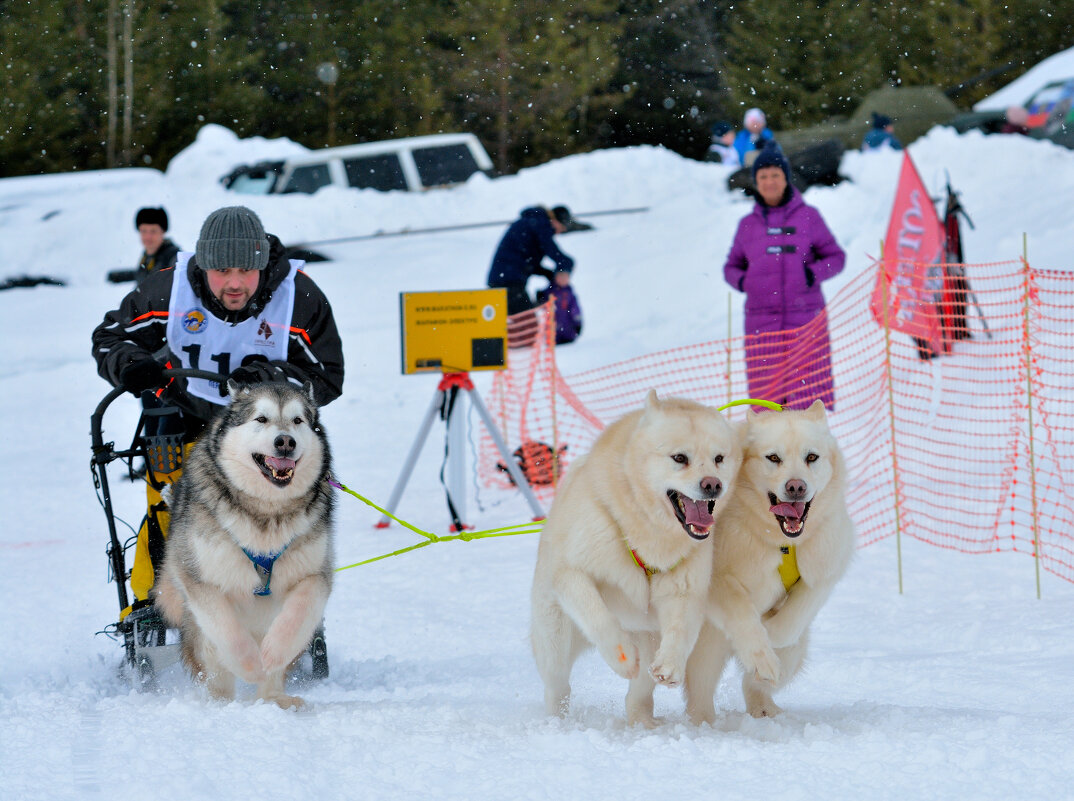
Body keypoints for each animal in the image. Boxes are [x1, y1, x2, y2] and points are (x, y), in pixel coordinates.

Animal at [528, 388, 738, 725]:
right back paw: (557, 720)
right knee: (557, 686)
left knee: (637, 696)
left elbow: (681, 629)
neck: (647, 534)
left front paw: (671, 666)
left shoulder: (685, 590)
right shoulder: (571, 573)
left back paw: (643, 722)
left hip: (648, 637)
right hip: (555, 641)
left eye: (719, 459)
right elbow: (598, 615)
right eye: (680, 458)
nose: (713, 485)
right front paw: (621, 656)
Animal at [683, 401, 850, 721]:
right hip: (707, 646)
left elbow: (793, 618)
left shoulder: (825, 569)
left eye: (811, 457)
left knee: (756, 682)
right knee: (699, 689)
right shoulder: (720, 580)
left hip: (795, 652)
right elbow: (742, 615)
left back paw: (764, 707)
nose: (796, 487)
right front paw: (761, 647)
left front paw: (771, 633)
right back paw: (704, 722)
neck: (783, 543)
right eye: (773, 458)